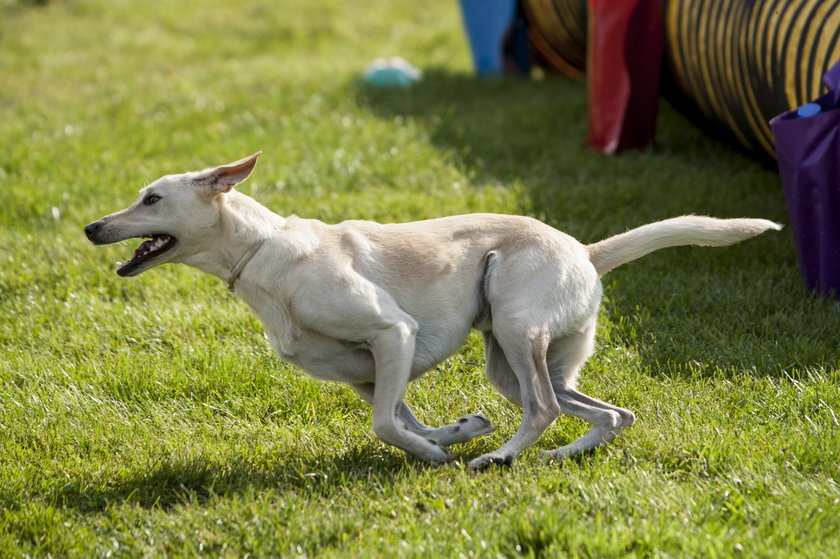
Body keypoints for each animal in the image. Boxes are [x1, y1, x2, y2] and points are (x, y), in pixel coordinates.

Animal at [85, 152, 780, 468]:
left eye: (151, 199)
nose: (92, 227)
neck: (262, 251)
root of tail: (584, 249)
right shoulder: (369, 372)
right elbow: (402, 417)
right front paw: (456, 433)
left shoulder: (392, 334)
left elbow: (387, 426)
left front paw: (442, 455)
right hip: (514, 360)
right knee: (609, 412)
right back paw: (550, 457)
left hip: (515, 327)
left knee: (545, 407)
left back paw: (501, 458)